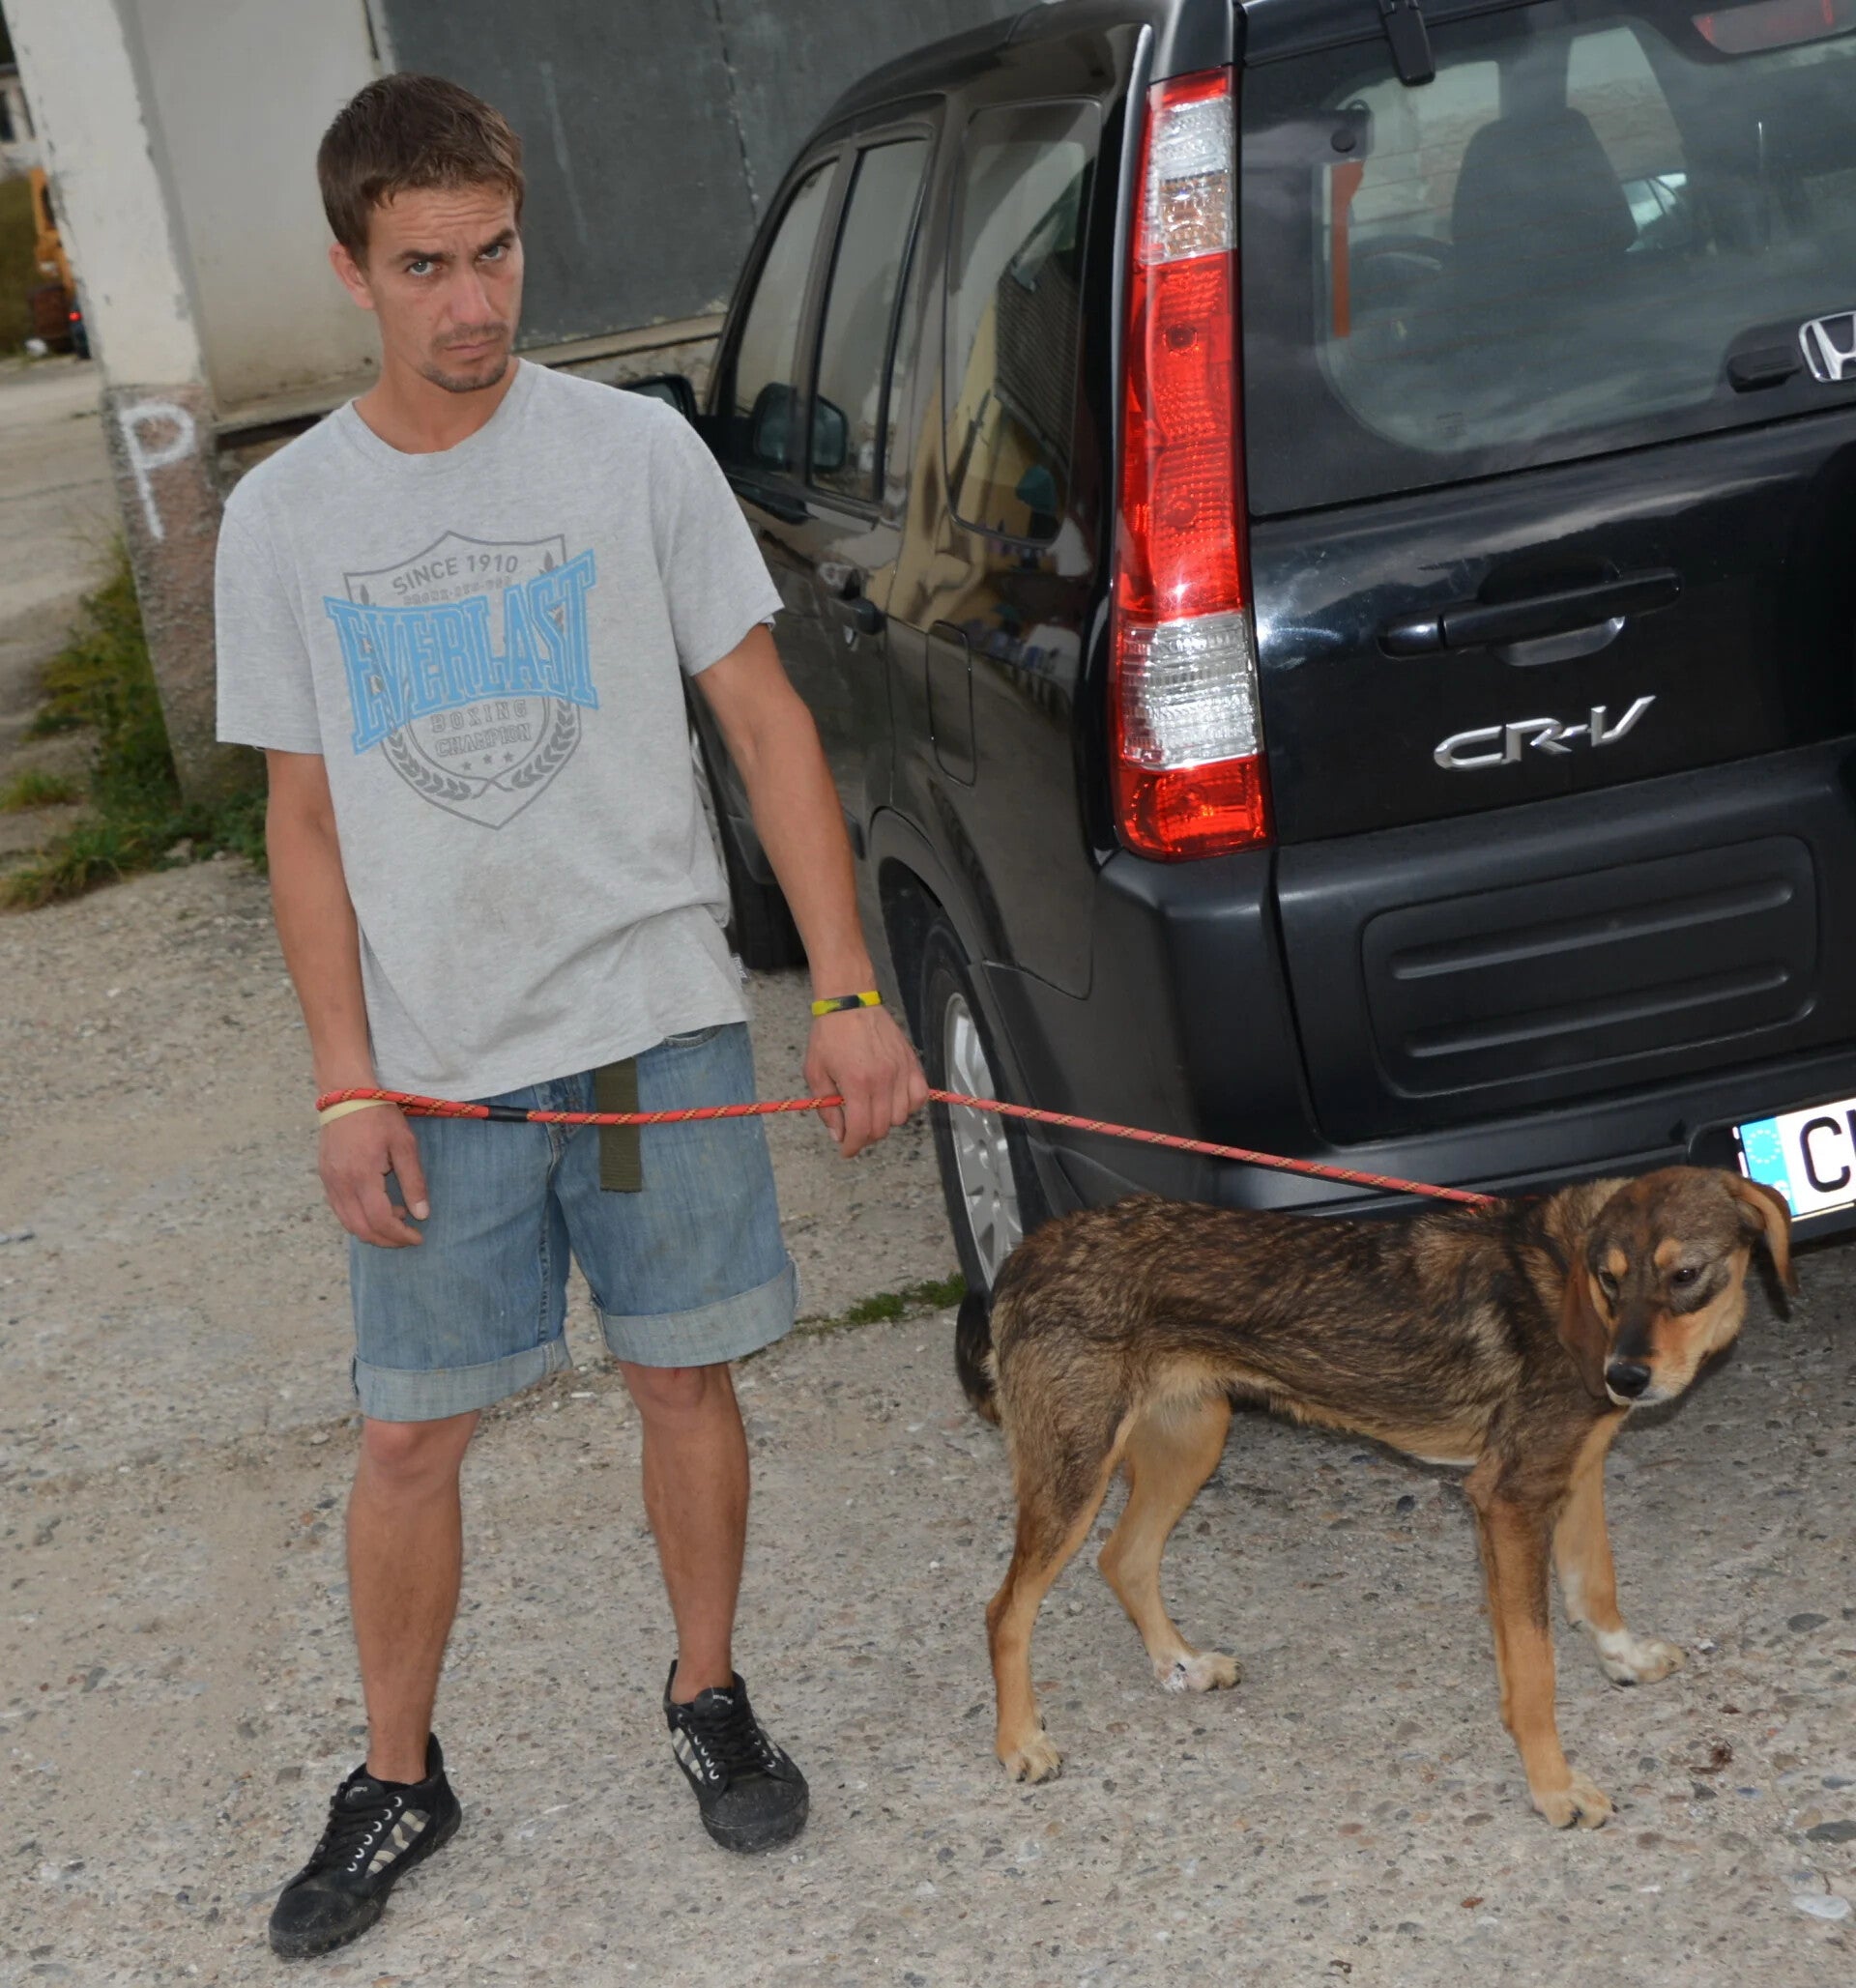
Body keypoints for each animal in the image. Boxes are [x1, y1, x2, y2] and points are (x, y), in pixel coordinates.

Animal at [960, 1165, 1792, 1828]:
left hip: (1193, 1440)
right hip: (1076, 1471)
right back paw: (1019, 1741)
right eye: (1612, 1278)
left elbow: (1595, 1586)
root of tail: (1025, 1251)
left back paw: (1182, 1663)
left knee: (1124, 1557)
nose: (1624, 1375)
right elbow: (1534, 1669)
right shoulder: (1510, 1498)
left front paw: (1623, 1657)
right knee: (1005, 1609)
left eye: (1685, 1274)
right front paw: (1554, 1786)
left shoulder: (1574, 1472)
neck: (1563, 1277)